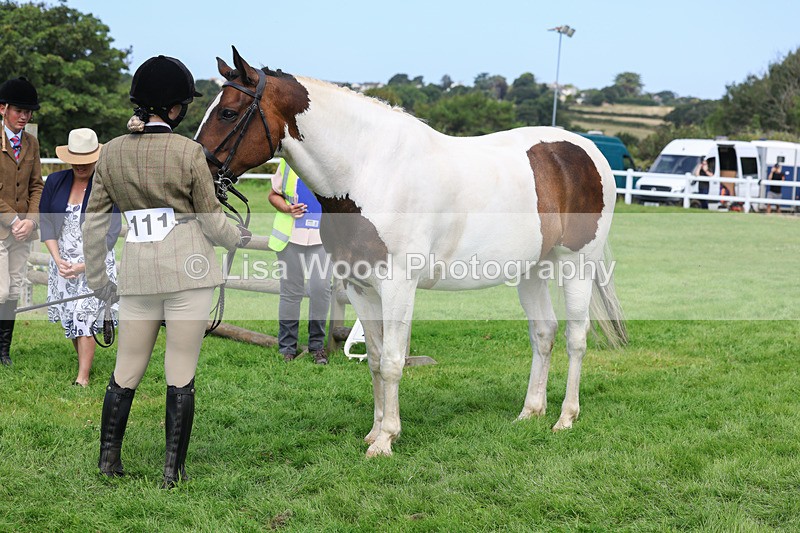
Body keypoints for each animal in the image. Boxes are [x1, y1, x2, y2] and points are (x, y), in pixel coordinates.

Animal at [196, 47, 627, 457]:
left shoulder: (398, 285)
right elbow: (373, 359)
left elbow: (392, 361)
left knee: (576, 337)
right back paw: (530, 412)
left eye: (229, 112)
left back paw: (565, 418)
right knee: (543, 333)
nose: (201, 174)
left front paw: (386, 440)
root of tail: (588, 150)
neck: (368, 172)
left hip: (577, 265)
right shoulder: (359, 287)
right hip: (532, 270)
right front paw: (373, 432)